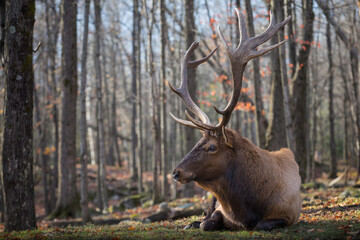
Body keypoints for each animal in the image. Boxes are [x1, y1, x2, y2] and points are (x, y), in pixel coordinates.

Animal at [169, 9, 300, 232]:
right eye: (198, 142)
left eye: (212, 147)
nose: (176, 172)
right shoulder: (220, 210)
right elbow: (207, 223)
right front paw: (200, 223)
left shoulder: (288, 214)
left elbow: (259, 226)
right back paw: (191, 223)